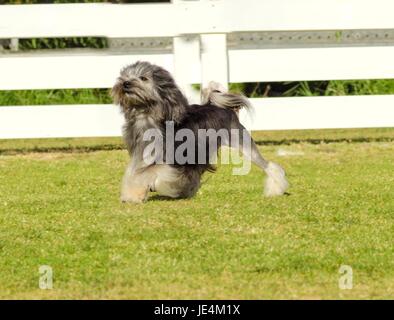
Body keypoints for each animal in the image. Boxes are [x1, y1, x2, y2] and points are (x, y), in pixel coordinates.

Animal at [112, 62, 288, 202]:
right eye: (124, 76)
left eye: (143, 78)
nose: (125, 83)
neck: (147, 114)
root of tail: (222, 107)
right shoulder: (140, 154)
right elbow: (134, 173)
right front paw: (132, 195)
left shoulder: (171, 159)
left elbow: (149, 173)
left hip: (241, 142)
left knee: (269, 166)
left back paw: (276, 189)